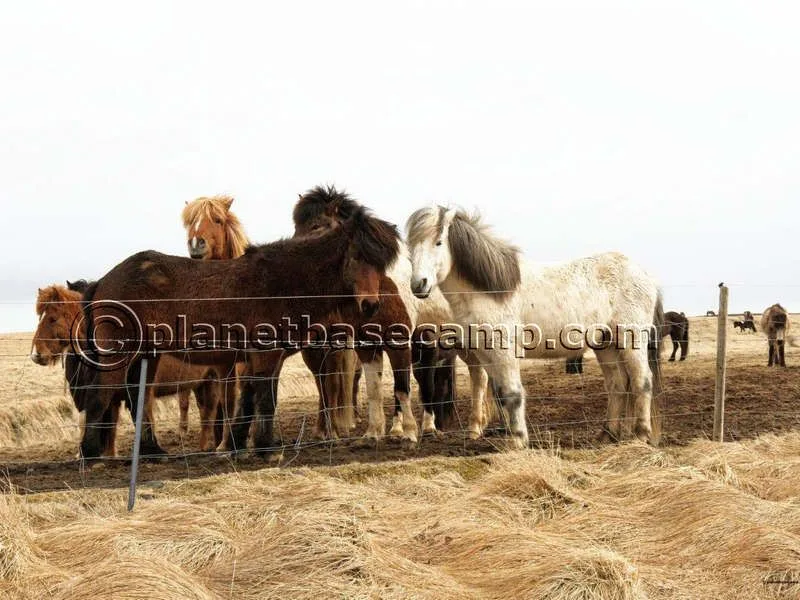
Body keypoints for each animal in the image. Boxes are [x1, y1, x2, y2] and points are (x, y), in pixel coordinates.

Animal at [31, 283, 231, 456]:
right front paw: (108, 455)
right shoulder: (110, 398)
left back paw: (209, 446)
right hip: (201, 383)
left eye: (52, 319)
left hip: (213, 379)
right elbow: (109, 427)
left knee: (211, 411)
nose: (36, 354)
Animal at [75, 206, 402, 459]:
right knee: (100, 393)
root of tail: (103, 280)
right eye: (356, 256)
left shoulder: (266, 357)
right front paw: (266, 449)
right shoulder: (266, 354)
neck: (281, 281)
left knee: (137, 397)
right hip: (118, 352)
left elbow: (252, 399)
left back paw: (151, 451)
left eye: (381, 263)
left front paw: (240, 445)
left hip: (147, 353)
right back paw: (91, 454)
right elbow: (265, 399)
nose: (370, 305)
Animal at [406, 206, 663, 447]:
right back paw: (607, 434)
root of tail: (646, 275)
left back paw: (641, 435)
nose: (419, 285)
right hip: (606, 344)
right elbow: (500, 393)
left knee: (642, 381)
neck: (490, 292)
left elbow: (512, 393)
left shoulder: (505, 352)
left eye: (438, 242)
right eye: (410, 248)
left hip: (631, 340)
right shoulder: (486, 354)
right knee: (617, 384)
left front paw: (518, 440)